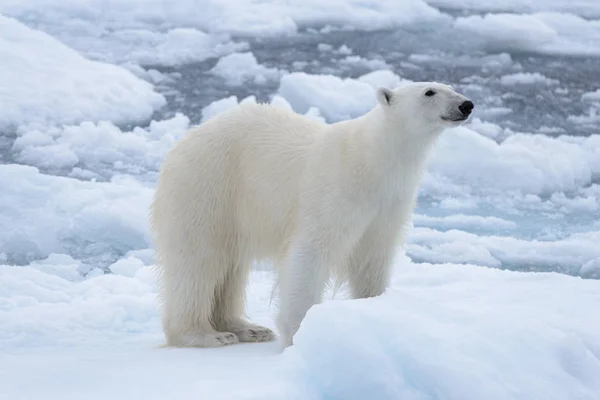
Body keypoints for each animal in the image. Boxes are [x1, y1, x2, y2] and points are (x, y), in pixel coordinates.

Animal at [150, 83, 474, 348]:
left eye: (451, 86)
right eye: (429, 92)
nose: (466, 104)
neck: (372, 161)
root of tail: (184, 141)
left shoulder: (387, 204)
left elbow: (372, 258)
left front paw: (371, 309)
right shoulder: (335, 192)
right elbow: (310, 253)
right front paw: (298, 332)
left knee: (230, 268)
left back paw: (247, 328)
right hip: (209, 187)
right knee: (199, 260)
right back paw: (203, 334)